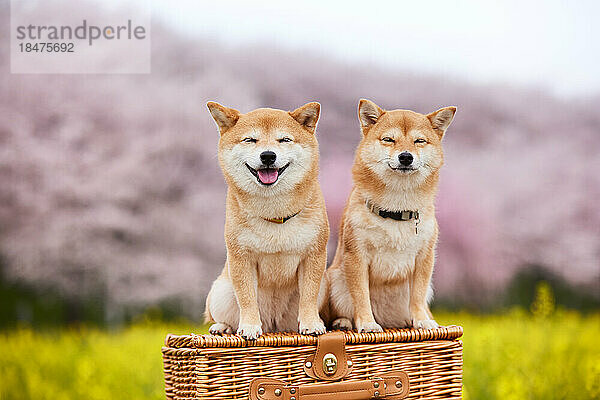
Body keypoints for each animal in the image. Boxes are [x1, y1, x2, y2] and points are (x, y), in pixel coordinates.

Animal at [205, 101, 328, 340]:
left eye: (284, 139)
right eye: (250, 140)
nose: (268, 155)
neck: (275, 214)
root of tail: (274, 326)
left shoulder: (314, 255)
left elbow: (308, 296)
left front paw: (311, 324)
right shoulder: (241, 257)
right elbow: (246, 298)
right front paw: (250, 327)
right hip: (220, 293)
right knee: (222, 316)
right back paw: (222, 327)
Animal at [326, 98, 458, 332]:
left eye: (419, 141)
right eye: (389, 139)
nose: (405, 156)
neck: (396, 210)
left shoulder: (424, 257)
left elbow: (417, 296)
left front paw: (422, 320)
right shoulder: (357, 256)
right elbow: (361, 296)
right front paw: (368, 324)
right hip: (335, 280)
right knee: (341, 311)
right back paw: (343, 323)